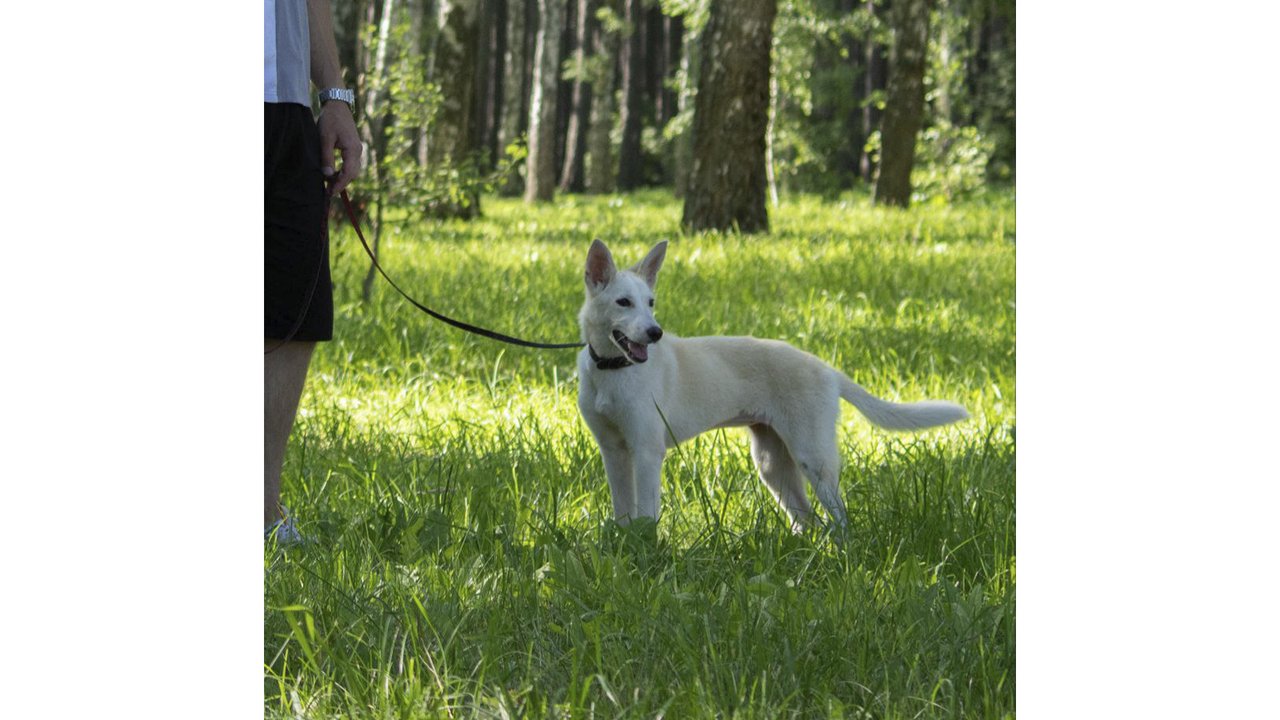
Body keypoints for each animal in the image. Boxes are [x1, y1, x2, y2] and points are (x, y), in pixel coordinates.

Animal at [576, 239, 962, 527]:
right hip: (772, 464)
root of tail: (826, 368)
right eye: (623, 302)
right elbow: (623, 512)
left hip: (813, 457)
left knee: (838, 519)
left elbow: (645, 515)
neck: (611, 370)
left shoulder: (646, 451)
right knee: (809, 521)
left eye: (651, 303)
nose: (655, 333)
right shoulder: (613, 451)